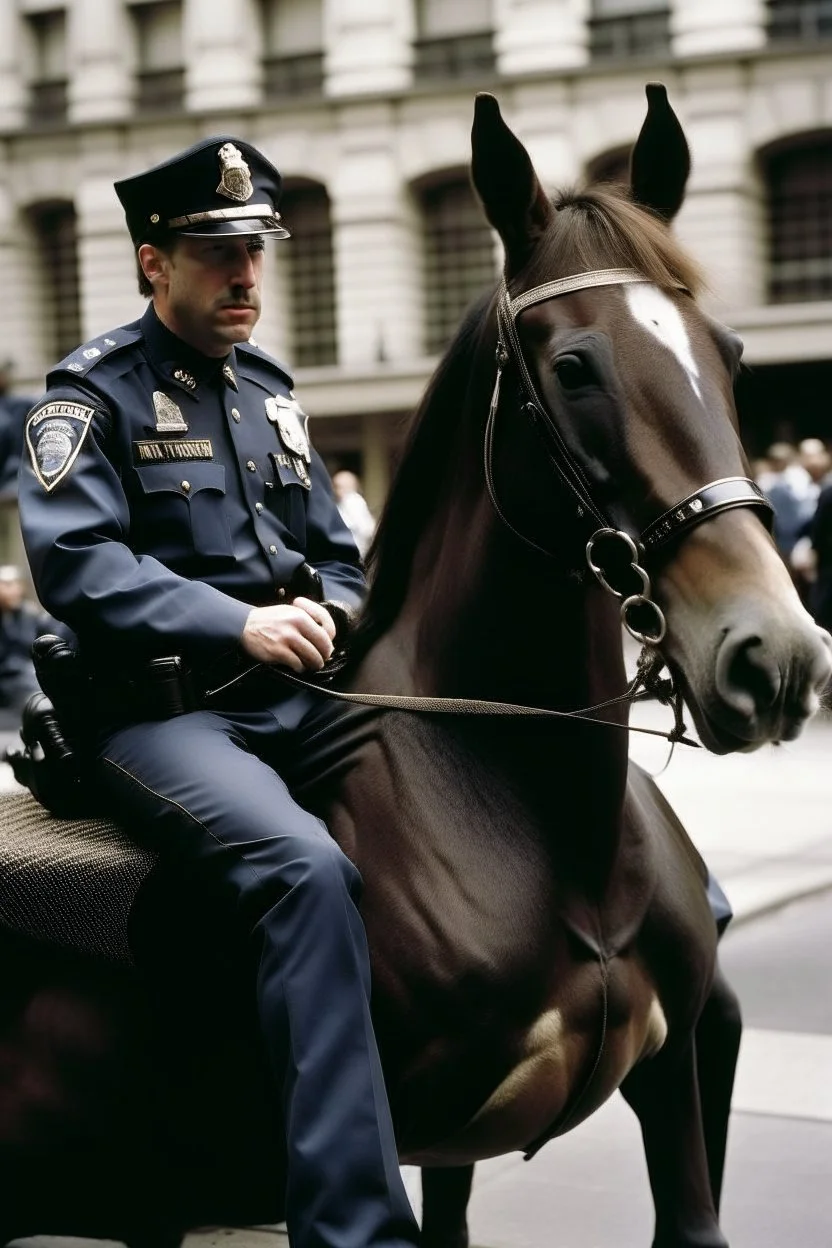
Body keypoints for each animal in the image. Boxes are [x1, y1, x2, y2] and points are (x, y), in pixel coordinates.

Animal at [1, 85, 832, 1248]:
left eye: (732, 354)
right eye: (573, 368)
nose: (776, 654)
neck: (537, 822)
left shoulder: (656, 1088)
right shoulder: (385, 1144)